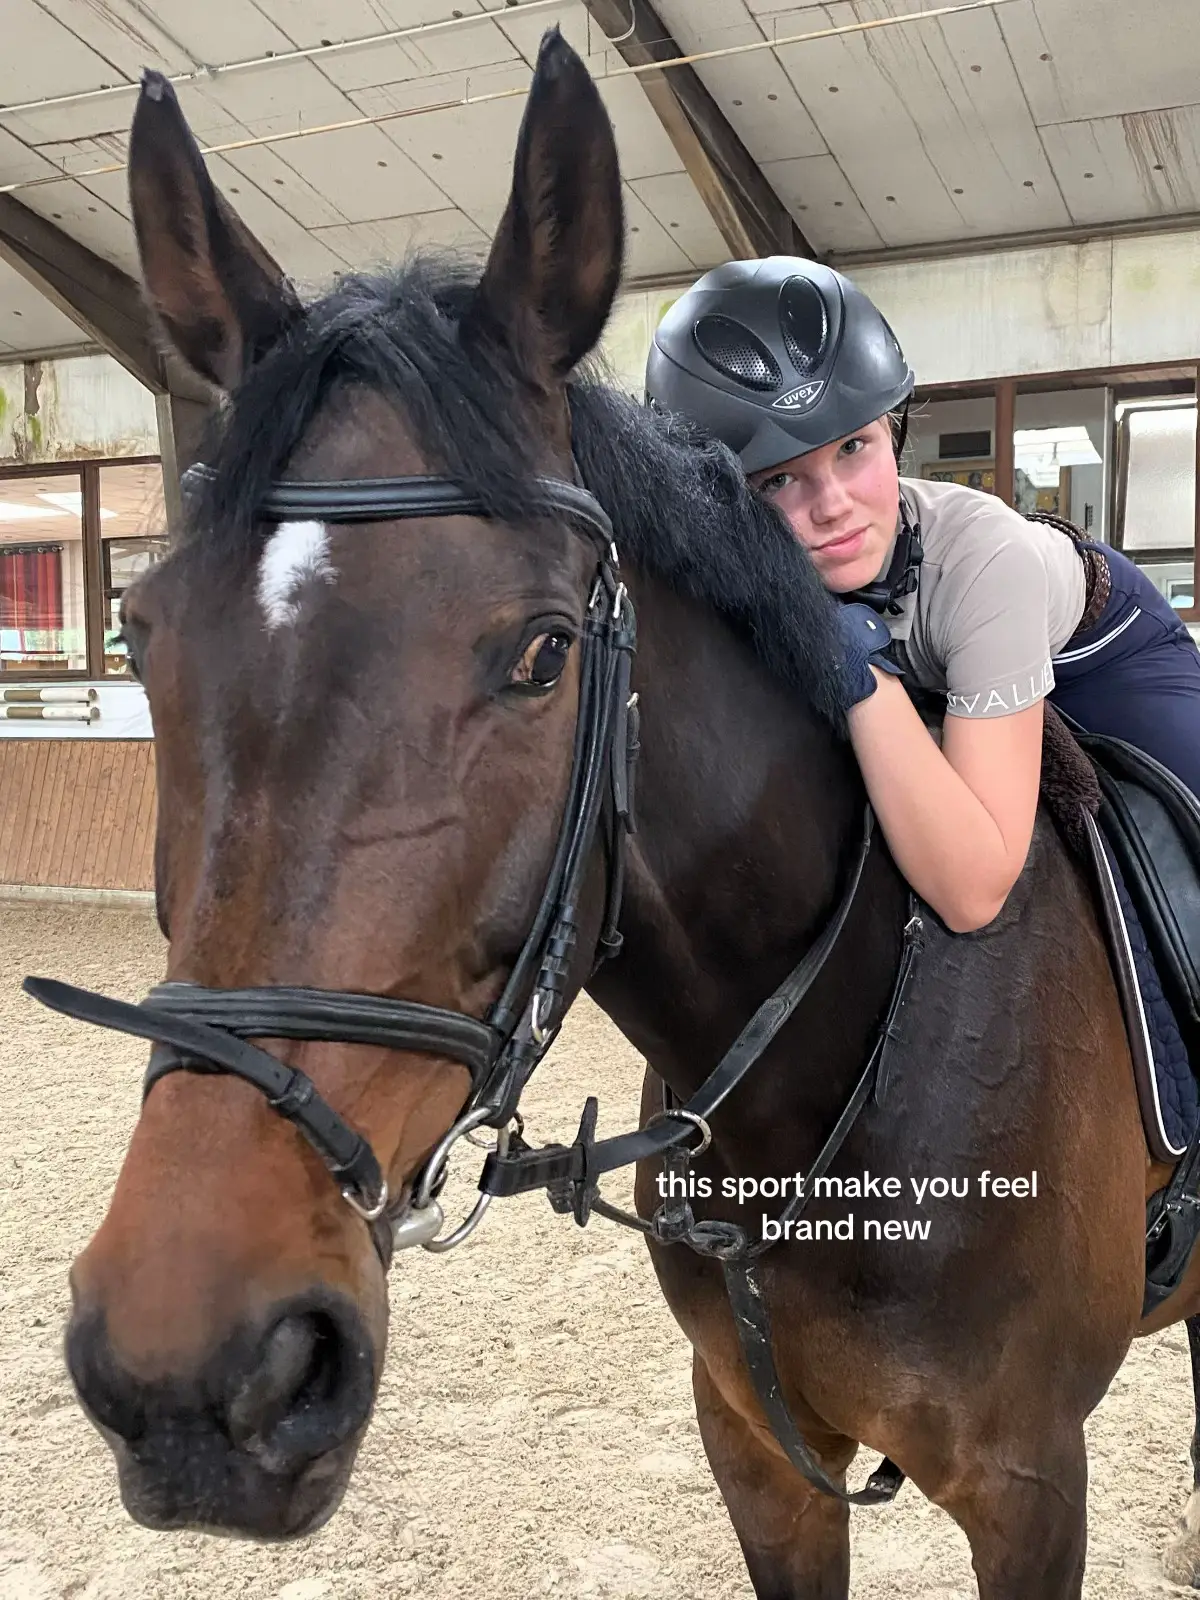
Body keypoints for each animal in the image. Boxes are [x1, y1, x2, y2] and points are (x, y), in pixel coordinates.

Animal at [35, 29, 1200, 1597]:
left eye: (541, 653)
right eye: (145, 635)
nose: (193, 1376)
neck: (832, 1067)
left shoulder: (1030, 1488)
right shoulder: (758, 1455)